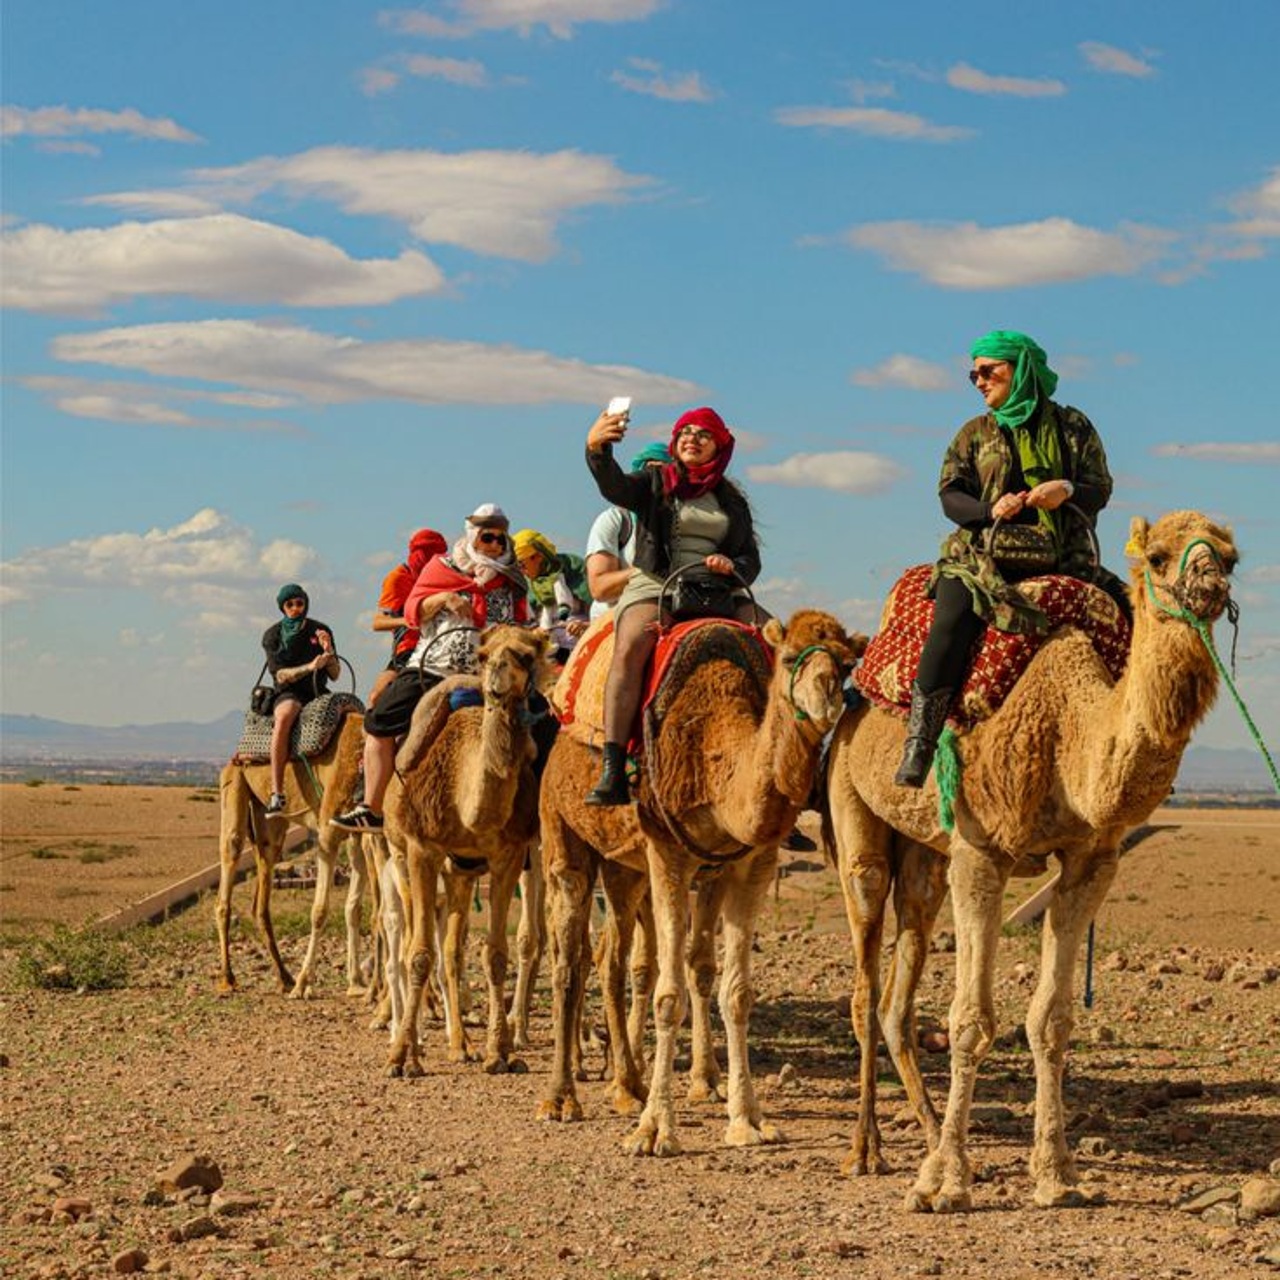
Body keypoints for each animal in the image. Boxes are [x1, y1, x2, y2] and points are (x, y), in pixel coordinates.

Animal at [215, 707, 368, 997]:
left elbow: (354, 909)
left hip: (269, 823)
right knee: (230, 858)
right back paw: (228, 978)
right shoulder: (328, 831)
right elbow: (319, 911)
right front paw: (304, 982)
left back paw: (284, 977)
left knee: (261, 899)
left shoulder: (356, 832)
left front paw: (356, 982)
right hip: (234, 785)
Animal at [384, 625, 555, 1076]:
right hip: (399, 855)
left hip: (460, 874)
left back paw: (461, 1045)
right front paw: (402, 1059)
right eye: (482, 654)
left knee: (452, 952)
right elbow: (419, 954)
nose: (496, 678)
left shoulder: (508, 855)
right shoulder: (422, 849)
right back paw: (414, 1039)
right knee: (409, 943)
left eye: (527, 655)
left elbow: (494, 954)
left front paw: (501, 1052)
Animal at [538, 609, 864, 1152]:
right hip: (563, 835)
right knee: (569, 961)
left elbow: (730, 988)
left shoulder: (748, 864)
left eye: (845, 664)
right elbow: (669, 995)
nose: (825, 697)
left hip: (625, 869)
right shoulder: (668, 854)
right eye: (789, 656)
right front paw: (655, 1130)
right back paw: (561, 1098)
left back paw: (627, 1086)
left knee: (612, 959)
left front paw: (745, 1117)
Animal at [824, 510, 1238, 1212]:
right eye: (1158, 556)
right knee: (864, 983)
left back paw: (925, 1136)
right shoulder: (981, 852)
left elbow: (1051, 1021)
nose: (1209, 584)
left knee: (897, 996)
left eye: (1232, 556)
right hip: (855, 811)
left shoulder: (1091, 861)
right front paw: (948, 1183)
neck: (1070, 734)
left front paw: (1057, 1175)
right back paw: (866, 1151)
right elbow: (970, 1021)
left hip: (924, 858)